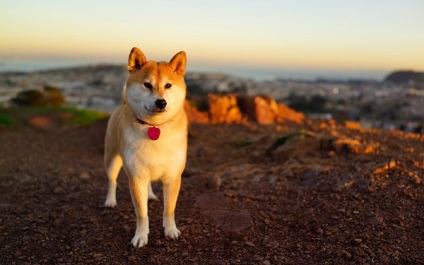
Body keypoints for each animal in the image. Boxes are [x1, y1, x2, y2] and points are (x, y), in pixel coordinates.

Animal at [102, 46, 187, 246]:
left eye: (168, 85)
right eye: (147, 85)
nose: (161, 102)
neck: (154, 128)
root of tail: (122, 105)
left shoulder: (173, 177)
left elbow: (169, 210)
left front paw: (170, 230)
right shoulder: (136, 177)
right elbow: (142, 214)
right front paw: (140, 236)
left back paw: (150, 195)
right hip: (112, 160)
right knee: (112, 181)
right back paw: (110, 200)